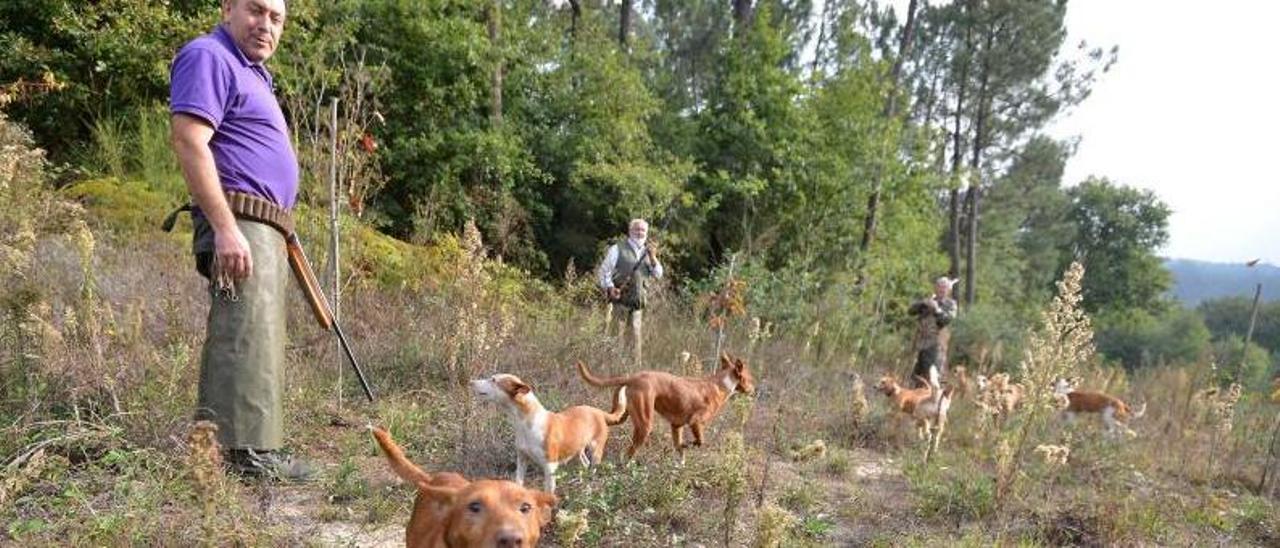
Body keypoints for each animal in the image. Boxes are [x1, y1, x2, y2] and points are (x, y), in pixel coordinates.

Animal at [473, 371, 627, 491]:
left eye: (494, 380)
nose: (471, 382)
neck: (526, 422)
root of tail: (599, 412)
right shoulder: (522, 459)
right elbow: (519, 482)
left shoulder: (550, 467)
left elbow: (549, 492)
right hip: (578, 450)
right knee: (585, 463)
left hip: (596, 451)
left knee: (593, 469)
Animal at [578, 350, 752, 463]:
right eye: (751, 379)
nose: (754, 390)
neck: (720, 384)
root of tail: (633, 377)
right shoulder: (695, 422)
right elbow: (699, 441)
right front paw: (688, 445)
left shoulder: (676, 426)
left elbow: (680, 452)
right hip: (645, 424)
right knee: (629, 453)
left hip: (620, 414)